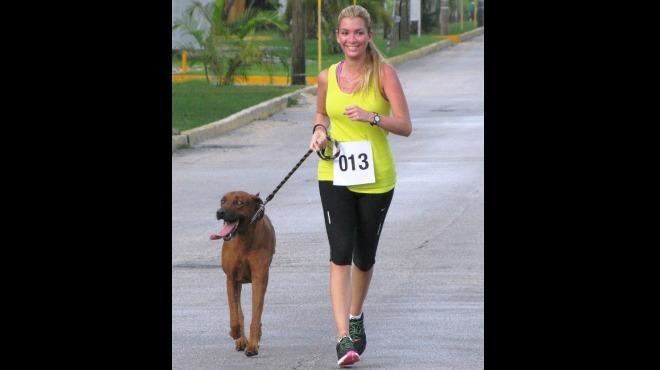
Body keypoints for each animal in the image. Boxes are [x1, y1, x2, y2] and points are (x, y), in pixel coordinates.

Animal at [210, 191, 274, 356]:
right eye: (222, 201)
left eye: (239, 202)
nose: (220, 212)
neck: (243, 240)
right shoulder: (231, 279)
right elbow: (235, 313)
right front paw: (235, 333)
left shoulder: (259, 278)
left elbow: (256, 314)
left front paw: (253, 344)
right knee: (239, 311)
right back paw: (240, 339)